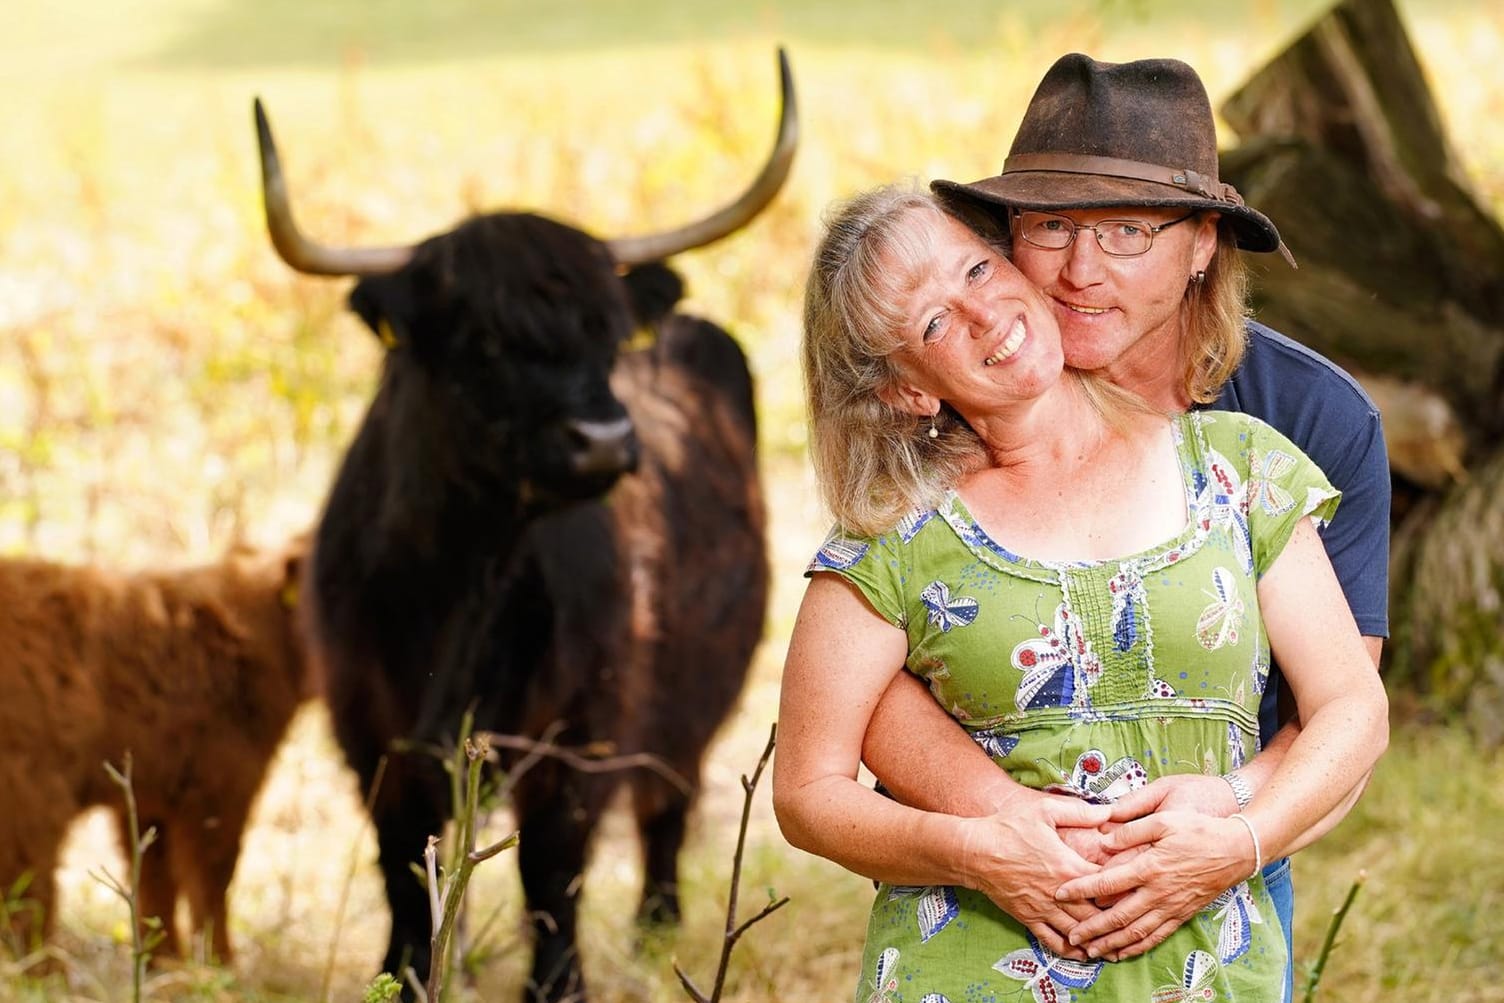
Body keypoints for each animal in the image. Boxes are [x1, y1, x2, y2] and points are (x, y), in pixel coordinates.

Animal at [252, 54, 794, 1003]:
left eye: (608, 337)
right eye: (483, 342)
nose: (605, 439)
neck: (459, 585)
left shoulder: (582, 729)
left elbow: (553, 865)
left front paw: (559, 983)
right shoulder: (371, 731)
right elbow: (406, 869)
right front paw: (411, 968)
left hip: (695, 697)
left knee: (669, 803)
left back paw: (657, 929)